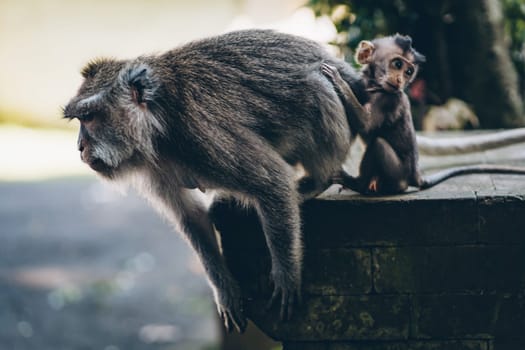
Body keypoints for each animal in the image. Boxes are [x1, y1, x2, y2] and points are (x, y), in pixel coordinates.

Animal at [63, 29, 368, 330]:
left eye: (89, 117)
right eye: (80, 119)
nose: (79, 146)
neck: (159, 124)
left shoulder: (203, 136)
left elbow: (273, 181)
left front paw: (287, 276)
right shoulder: (155, 168)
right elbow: (192, 218)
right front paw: (226, 291)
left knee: (317, 85)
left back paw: (318, 180)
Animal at [322, 34, 524, 194]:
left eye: (408, 71)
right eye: (397, 64)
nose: (400, 80)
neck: (375, 86)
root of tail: (414, 175)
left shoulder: (389, 99)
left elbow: (366, 124)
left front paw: (338, 81)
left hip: (398, 175)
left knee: (379, 145)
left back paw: (359, 184)